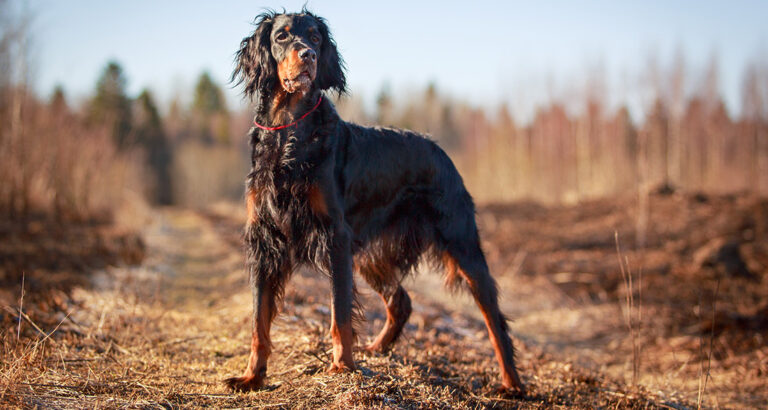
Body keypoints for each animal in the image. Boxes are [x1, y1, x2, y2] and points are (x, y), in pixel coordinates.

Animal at [222, 8, 520, 394]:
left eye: (316, 37)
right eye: (282, 36)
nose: (309, 56)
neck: (289, 132)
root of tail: (439, 150)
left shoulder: (335, 236)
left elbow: (339, 313)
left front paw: (342, 367)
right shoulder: (264, 239)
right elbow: (259, 321)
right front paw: (252, 377)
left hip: (461, 243)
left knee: (494, 318)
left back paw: (512, 383)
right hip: (369, 257)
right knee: (401, 301)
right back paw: (378, 348)